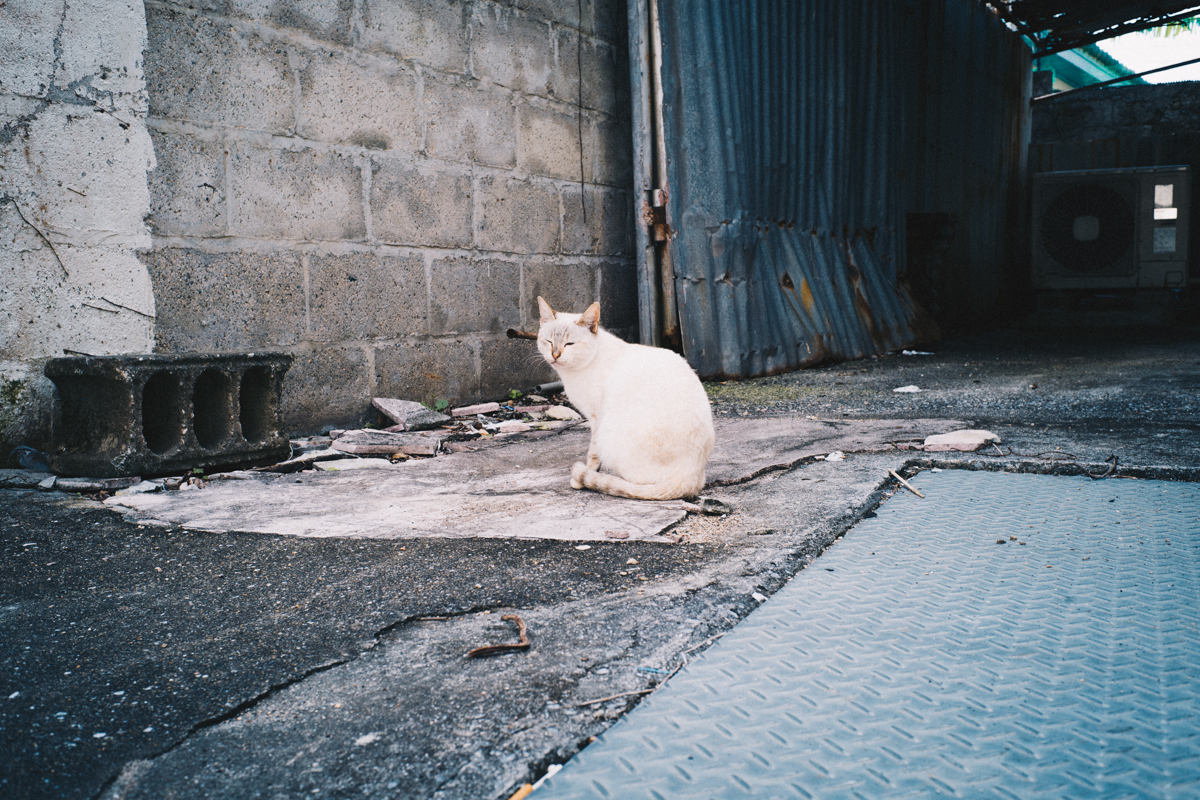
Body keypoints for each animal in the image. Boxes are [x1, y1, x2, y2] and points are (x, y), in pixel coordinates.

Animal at [535, 298, 710, 501]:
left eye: (569, 344)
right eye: (548, 341)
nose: (555, 355)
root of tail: (692, 476)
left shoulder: (596, 420)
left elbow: (592, 455)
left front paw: (584, 477)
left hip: (609, 432)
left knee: (635, 483)